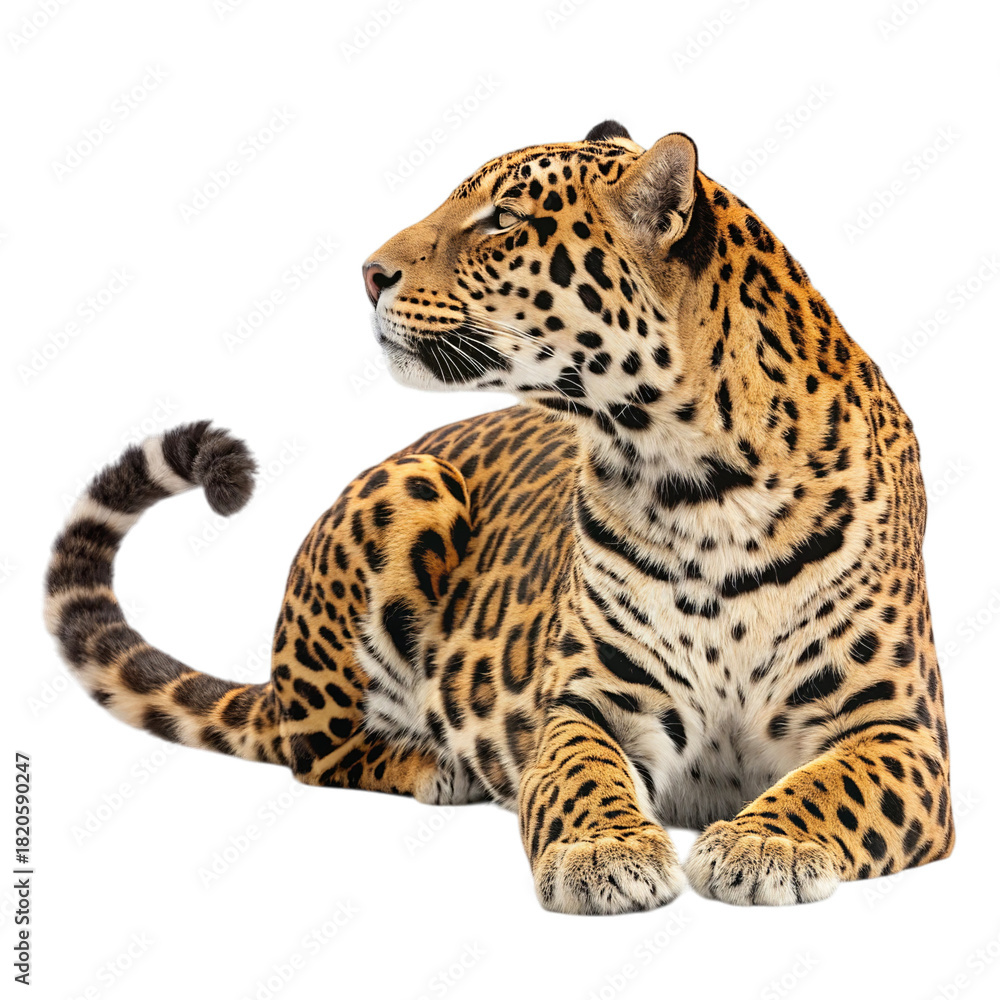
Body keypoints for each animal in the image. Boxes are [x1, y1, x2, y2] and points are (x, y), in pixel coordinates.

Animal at [45, 120, 954, 914]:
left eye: (504, 222)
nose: (368, 274)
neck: (695, 478)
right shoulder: (587, 704)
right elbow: (581, 777)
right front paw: (604, 855)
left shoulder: (899, 729)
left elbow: (831, 787)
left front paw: (765, 844)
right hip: (411, 489)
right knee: (316, 747)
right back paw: (434, 766)